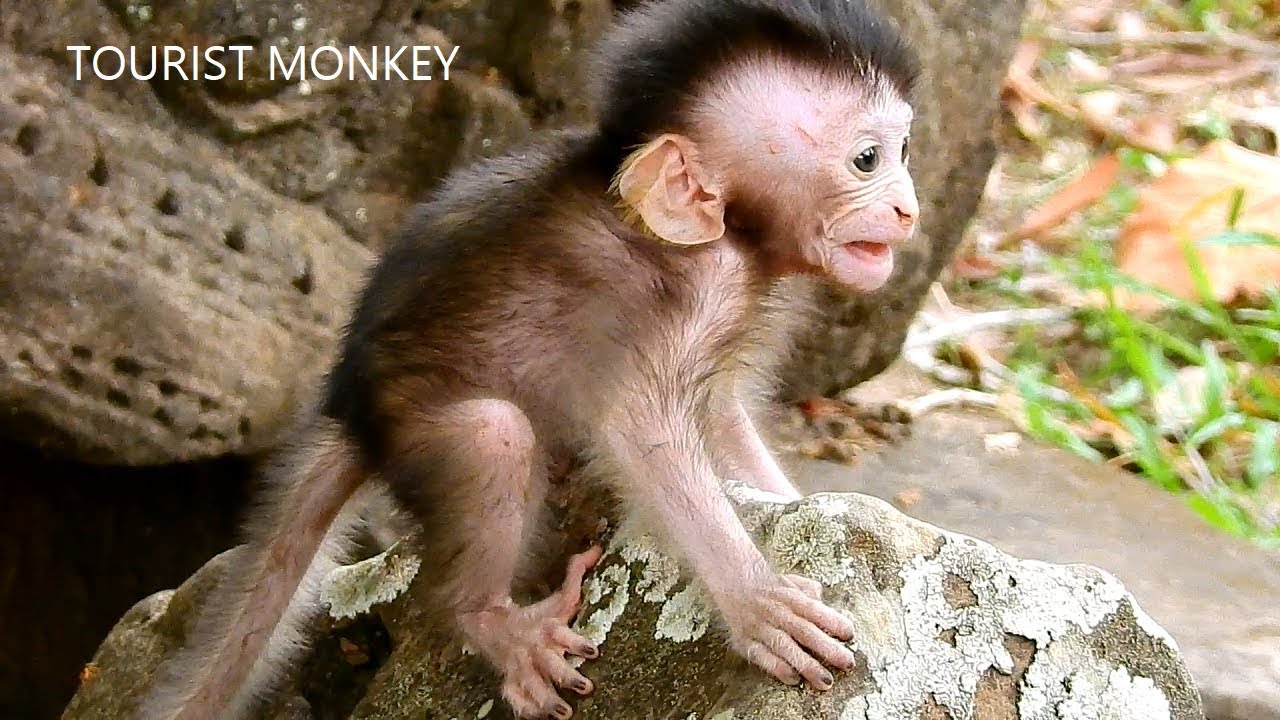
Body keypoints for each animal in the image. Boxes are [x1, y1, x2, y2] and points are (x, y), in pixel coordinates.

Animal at [133, 0, 919, 718]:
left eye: (902, 153)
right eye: (867, 160)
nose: (907, 209)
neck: (727, 233)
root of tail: (352, 405)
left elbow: (720, 415)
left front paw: (781, 501)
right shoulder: (698, 289)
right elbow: (643, 432)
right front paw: (755, 600)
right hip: (420, 420)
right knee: (493, 435)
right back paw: (490, 622)